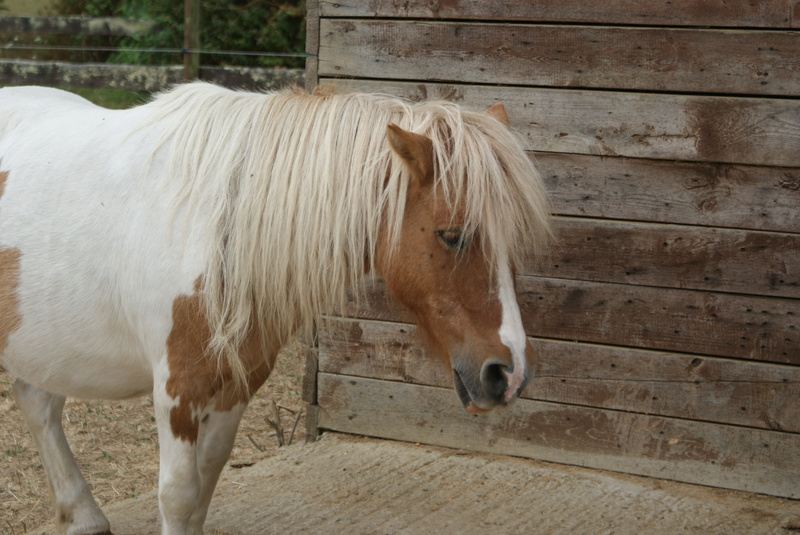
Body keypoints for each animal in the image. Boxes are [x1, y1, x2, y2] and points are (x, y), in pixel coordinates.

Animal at [0, 84, 552, 535]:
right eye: (451, 235)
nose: (509, 373)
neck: (221, 228)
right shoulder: (176, 389)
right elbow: (178, 496)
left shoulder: (236, 382)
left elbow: (205, 485)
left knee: (37, 400)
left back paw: (83, 517)